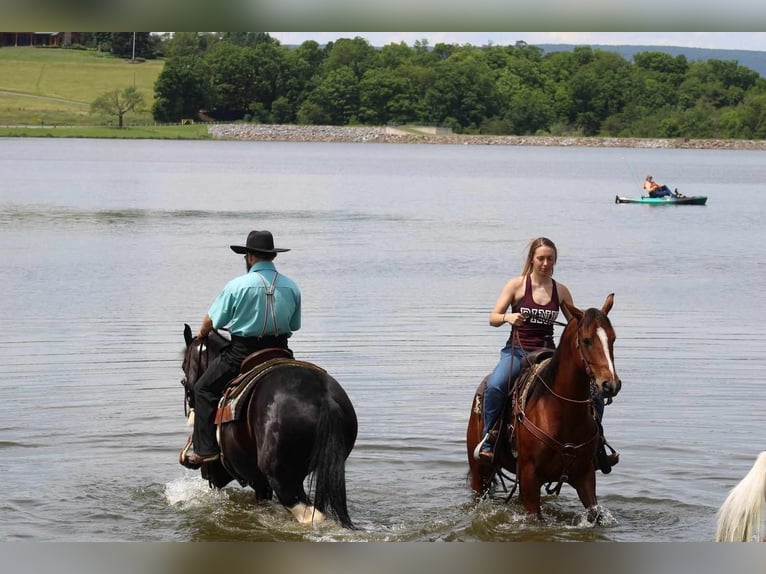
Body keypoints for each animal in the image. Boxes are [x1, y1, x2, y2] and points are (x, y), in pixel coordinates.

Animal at [180, 324, 360, 532]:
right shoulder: (261, 482)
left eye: (184, 366)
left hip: (281, 478)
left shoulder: (256, 478)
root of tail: (323, 397)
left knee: (310, 515)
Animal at [464, 294, 620, 524]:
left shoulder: (585, 475)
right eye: (586, 340)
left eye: (613, 338)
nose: (611, 385)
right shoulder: (530, 478)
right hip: (479, 473)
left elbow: (595, 514)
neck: (563, 412)